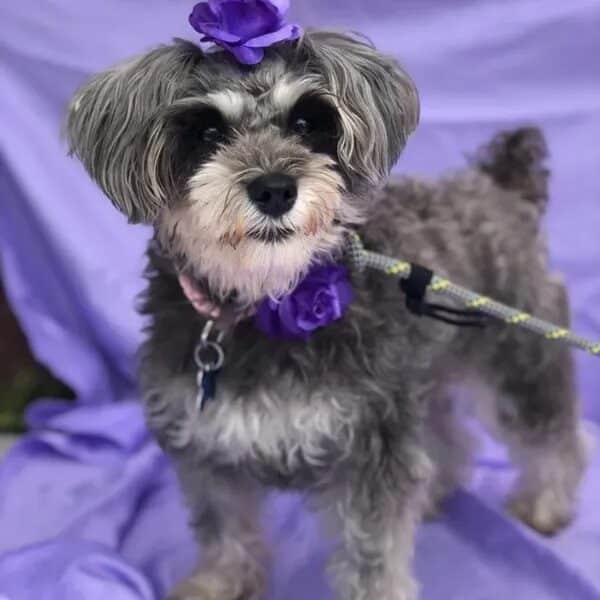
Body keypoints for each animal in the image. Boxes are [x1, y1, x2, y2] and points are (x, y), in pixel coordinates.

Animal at [65, 31, 584, 600]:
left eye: (307, 122)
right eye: (206, 131)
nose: (274, 189)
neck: (268, 302)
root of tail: (498, 186)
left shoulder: (370, 453)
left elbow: (372, 555)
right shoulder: (205, 449)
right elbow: (223, 529)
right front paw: (216, 584)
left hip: (519, 359)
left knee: (553, 435)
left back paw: (545, 504)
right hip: (423, 377)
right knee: (449, 438)